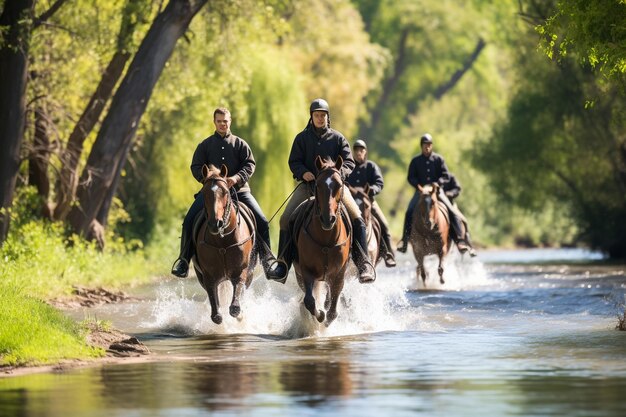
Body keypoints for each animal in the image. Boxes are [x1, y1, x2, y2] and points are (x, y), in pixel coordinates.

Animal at [193, 164, 256, 324]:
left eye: (226, 192)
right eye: (204, 193)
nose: (215, 223)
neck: (222, 242)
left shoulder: (240, 273)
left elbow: (235, 308)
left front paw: (240, 315)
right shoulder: (209, 278)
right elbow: (216, 315)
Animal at [292, 156, 352, 324]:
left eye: (339, 185)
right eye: (318, 185)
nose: (327, 219)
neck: (326, 240)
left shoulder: (339, 273)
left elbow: (333, 309)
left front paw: (326, 317)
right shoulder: (306, 271)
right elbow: (309, 301)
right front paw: (319, 315)